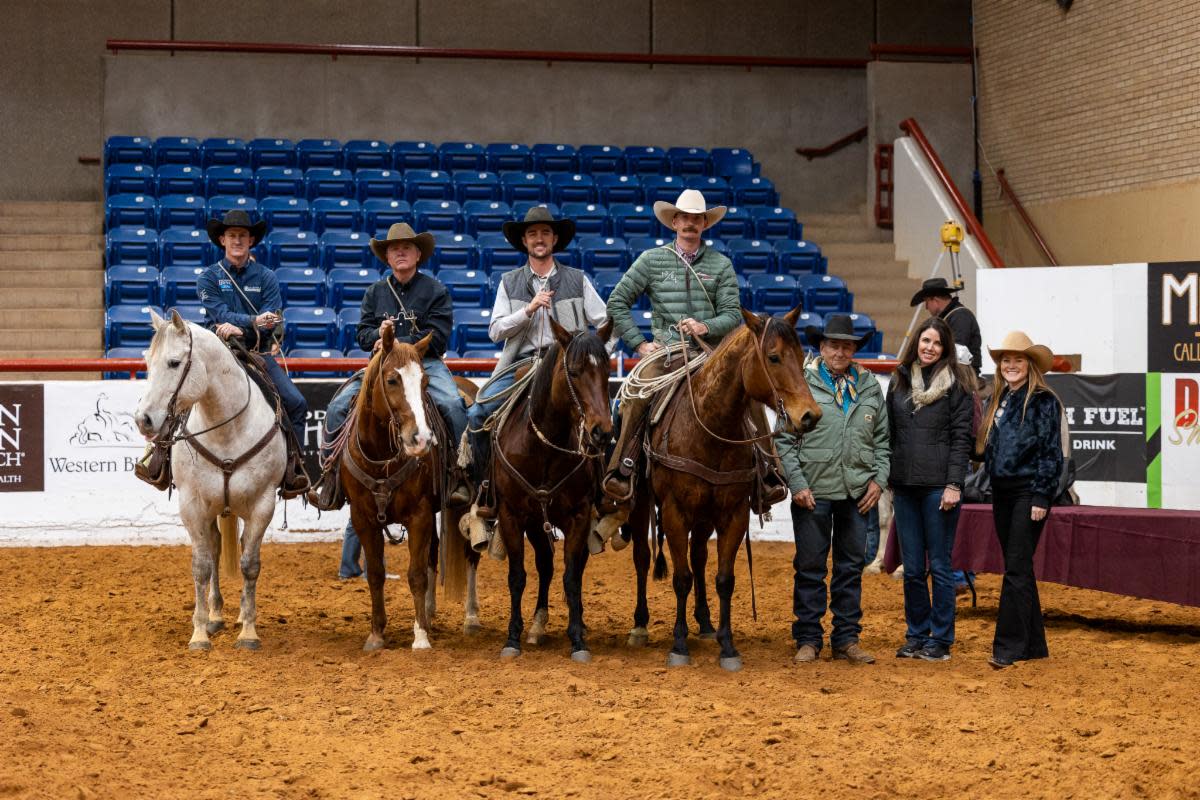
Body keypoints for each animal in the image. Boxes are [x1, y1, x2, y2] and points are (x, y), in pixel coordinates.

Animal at [133, 309, 285, 652]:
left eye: (174, 362)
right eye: (147, 360)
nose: (143, 420)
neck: (227, 428)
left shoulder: (263, 504)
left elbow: (250, 565)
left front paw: (249, 632)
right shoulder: (192, 505)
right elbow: (201, 566)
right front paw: (199, 633)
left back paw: (239, 616)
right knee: (215, 550)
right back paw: (215, 616)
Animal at [340, 319, 475, 652]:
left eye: (425, 382)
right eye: (391, 380)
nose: (421, 439)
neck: (381, 457)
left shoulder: (419, 515)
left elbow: (416, 574)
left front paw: (421, 636)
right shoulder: (362, 518)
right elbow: (376, 574)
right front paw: (377, 634)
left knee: (470, 556)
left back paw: (470, 618)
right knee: (434, 553)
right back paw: (429, 612)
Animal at [489, 316, 614, 662]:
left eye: (607, 370)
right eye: (575, 371)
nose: (601, 432)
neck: (544, 445)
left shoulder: (580, 516)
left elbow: (571, 577)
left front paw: (578, 640)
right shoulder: (511, 515)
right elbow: (518, 576)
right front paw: (512, 639)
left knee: (572, 567)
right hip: (534, 522)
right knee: (544, 564)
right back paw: (536, 627)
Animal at [619, 309, 825, 671]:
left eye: (801, 357)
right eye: (773, 357)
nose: (809, 416)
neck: (708, 425)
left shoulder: (733, 513)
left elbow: (724, 579)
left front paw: (727, 646)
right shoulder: (674, 512)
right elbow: (681, 577)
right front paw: (678, 645)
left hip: (704, 515)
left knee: (700, 556)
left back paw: (704, 623)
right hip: (642, 502)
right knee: (643, 557)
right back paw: (640, 625)